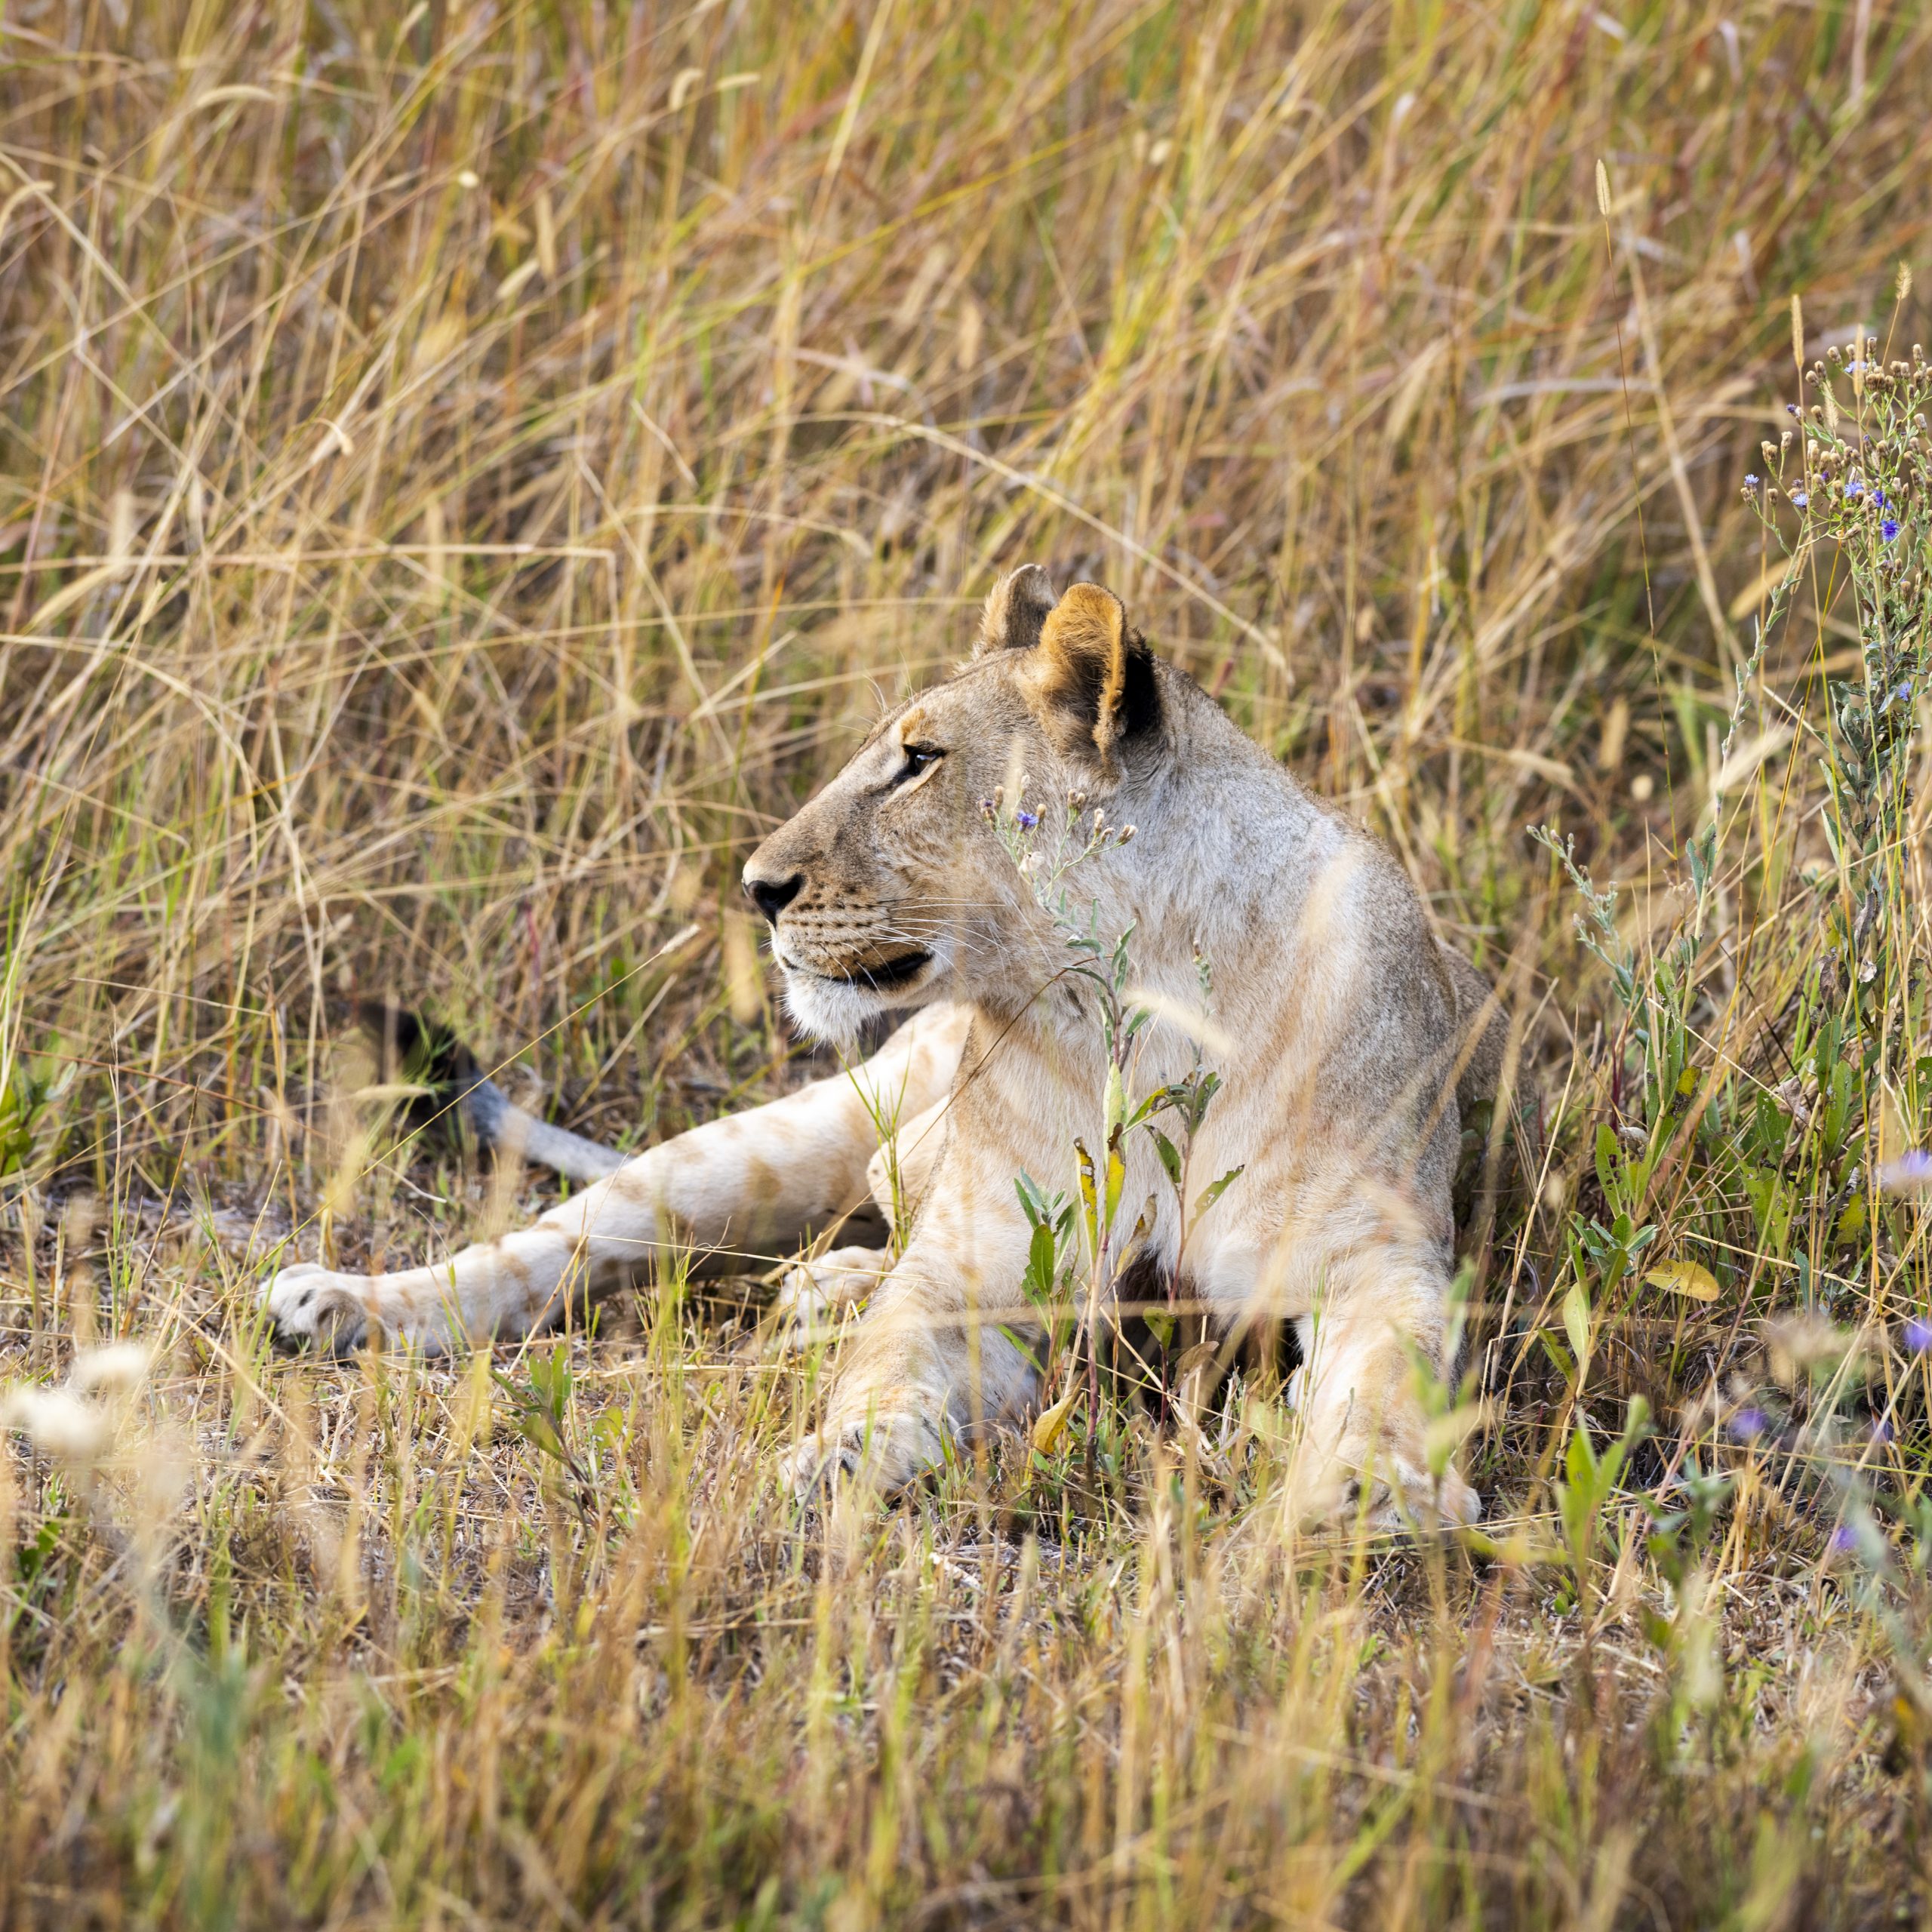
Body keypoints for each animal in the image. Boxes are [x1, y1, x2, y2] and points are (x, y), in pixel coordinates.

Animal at [265, 566, 1510, 1526]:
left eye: (919, 760)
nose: (758, 887)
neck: (1140, 1006)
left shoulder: (1378, 1253)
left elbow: (1389, 1373)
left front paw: (1378, 1489)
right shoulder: (980, 1256)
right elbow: (896, 1352)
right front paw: (845, 1455)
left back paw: (823, 1287)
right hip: (781, 1140)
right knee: (568, 1243)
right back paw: (337, 1304)